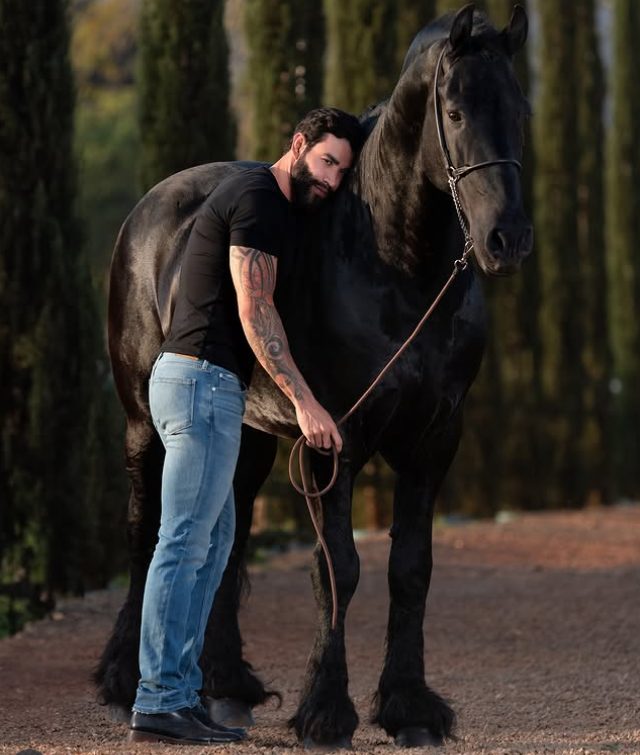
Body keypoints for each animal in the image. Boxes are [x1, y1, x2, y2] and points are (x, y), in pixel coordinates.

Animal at [95, 4, 532, 747]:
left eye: (519, 110)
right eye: (455, 110)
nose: (508, 239)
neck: (393, 267)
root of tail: (147, 211)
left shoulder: (433, 441)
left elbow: (410, 570)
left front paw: (410, 708)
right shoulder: (335, 441)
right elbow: (339, 570)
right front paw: (327, 711)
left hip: (246, 438)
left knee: (228, 540)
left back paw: (226, 685)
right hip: (141, 426)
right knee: (143, 532)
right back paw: (126, 681)